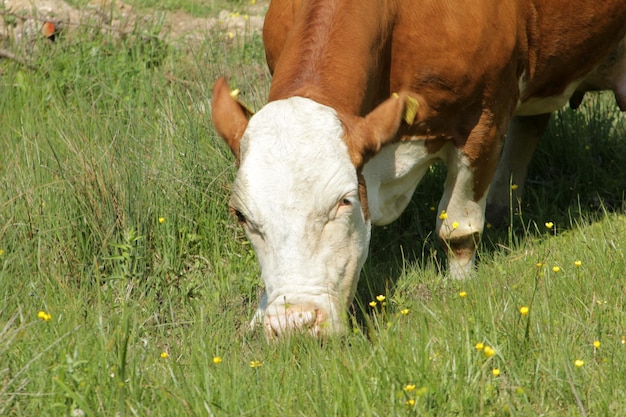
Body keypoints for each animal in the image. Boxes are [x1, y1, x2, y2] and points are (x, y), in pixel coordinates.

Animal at [211, 0, 624, 338]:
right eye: (242, 215)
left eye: (344, 202)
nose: (294, 323)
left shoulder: (485, 118)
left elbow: (458, 228)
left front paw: (461, 285)